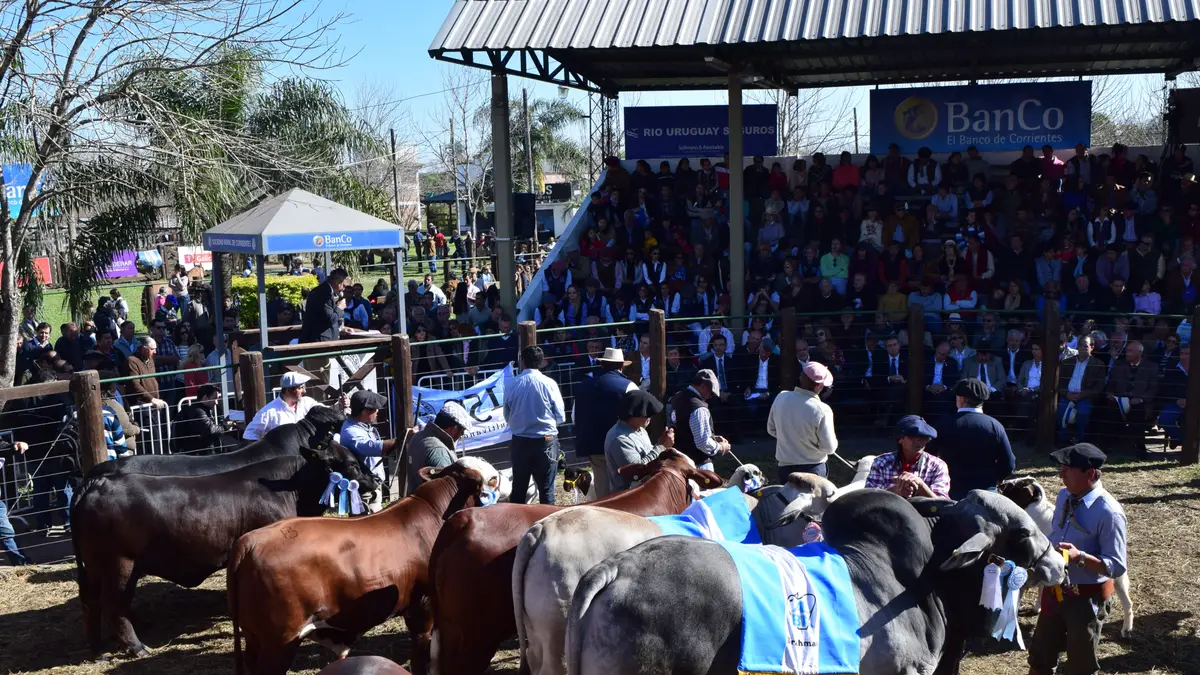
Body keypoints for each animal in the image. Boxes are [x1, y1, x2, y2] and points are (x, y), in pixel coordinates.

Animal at [71, 440, 376, 657]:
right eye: (351, 462)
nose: (376, 480)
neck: (289, 487)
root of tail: (96, 482)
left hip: (97, 568)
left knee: (91, 603)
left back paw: (97, 649)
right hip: (119, 564)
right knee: (114, 606)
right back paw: (137, 647)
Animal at [227, 457, 502, 675]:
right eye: (491, 480)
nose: (501, 476)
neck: (436, 513)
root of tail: (249, 541)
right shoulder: (423, 603)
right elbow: (420, 652)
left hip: (254, 639)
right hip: (278, 642)